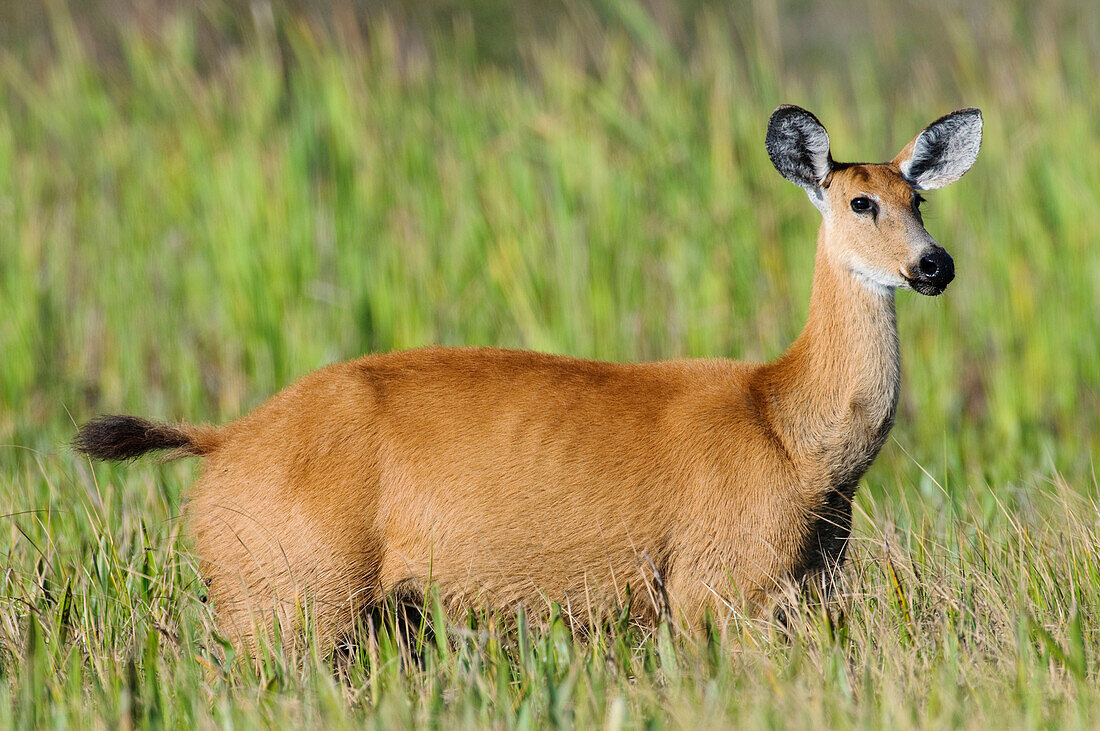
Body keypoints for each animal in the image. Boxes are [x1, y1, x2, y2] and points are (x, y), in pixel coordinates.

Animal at [73, 103, 985, 650]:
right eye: (861, 202)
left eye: (920, 199)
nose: (934, 265)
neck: (791, 430)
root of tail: (222, 441)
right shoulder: (717, 587)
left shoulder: (801, 591)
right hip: (284, 596)